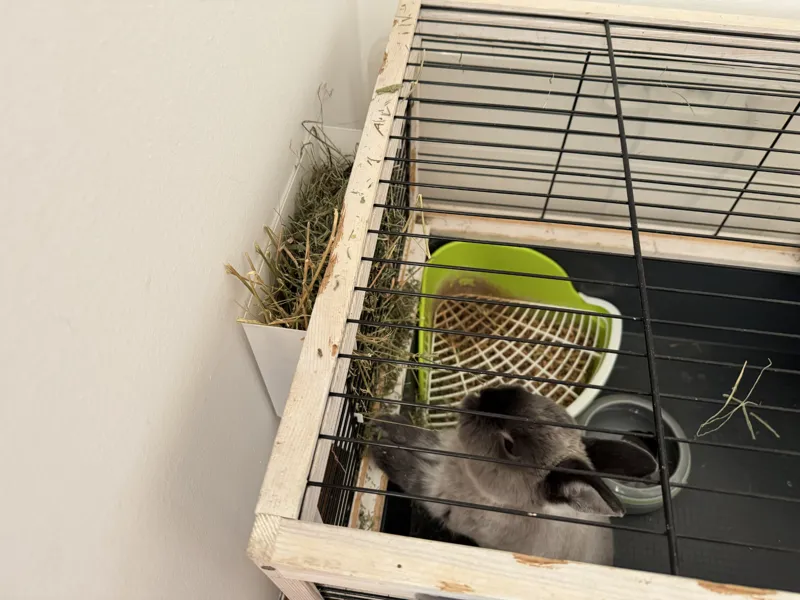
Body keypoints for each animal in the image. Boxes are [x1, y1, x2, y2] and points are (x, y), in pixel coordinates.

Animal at [370, 385, 657, 566]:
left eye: (510, 446)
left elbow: (411, 472)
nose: (480, 397)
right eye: (521, 391)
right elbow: (420, 438)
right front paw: (386, 422)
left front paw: (381, 444)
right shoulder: (441, 448)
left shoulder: (439, 494)